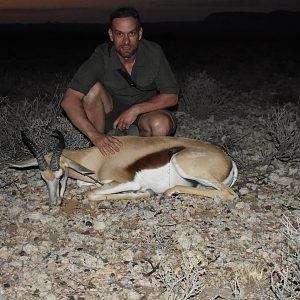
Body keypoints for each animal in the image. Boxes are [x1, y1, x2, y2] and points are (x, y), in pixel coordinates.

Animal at [10, 131, 238, 206]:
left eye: (61, 174)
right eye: (43, 177)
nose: (54, 202)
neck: (99, 158)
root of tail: (229, 161)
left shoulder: (126, 181)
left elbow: (91, 194)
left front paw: (145, 192)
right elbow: (86, 186)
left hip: (182, 164)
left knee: (230, 194)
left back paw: (167, 192)